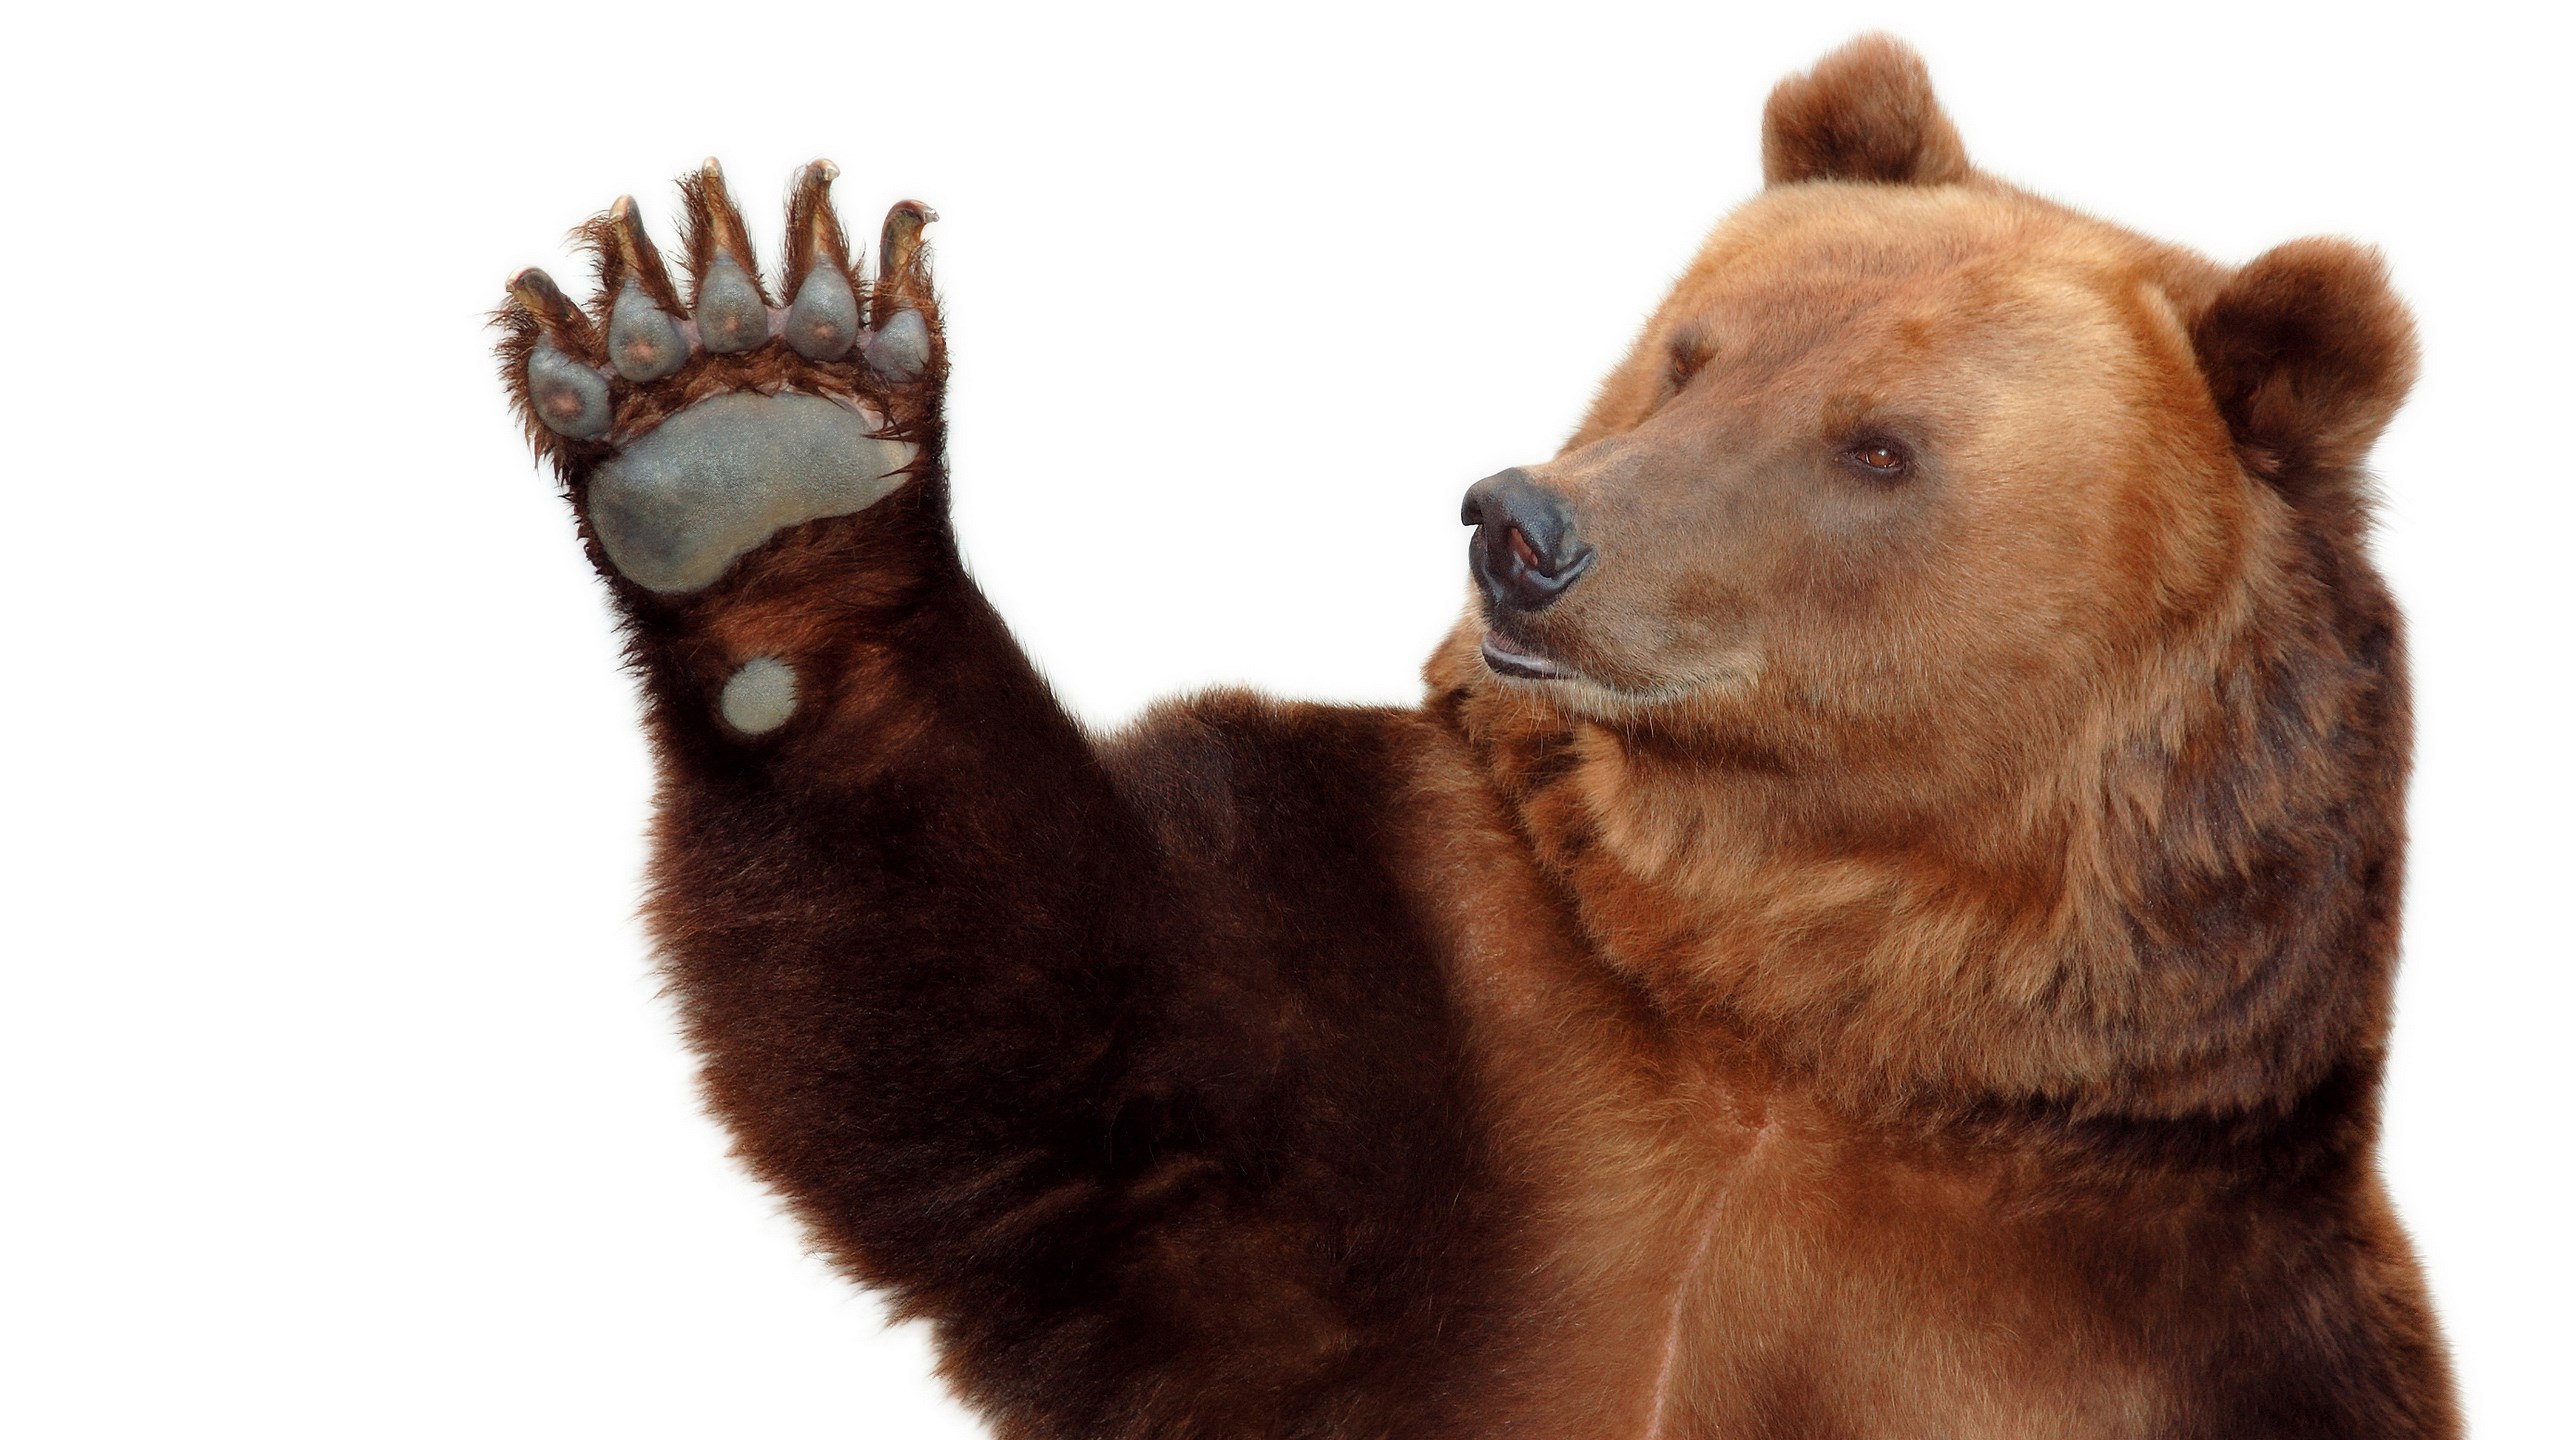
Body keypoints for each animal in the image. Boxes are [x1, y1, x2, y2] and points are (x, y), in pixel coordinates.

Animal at [495, 35, 2455, 1439]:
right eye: (1691, 349)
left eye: (1879, 445)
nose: (1524, 525)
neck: (1820, 1004)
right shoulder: (1443, 1040)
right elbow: (1022, 1020)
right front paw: (745, 420)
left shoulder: (2176, 1307)